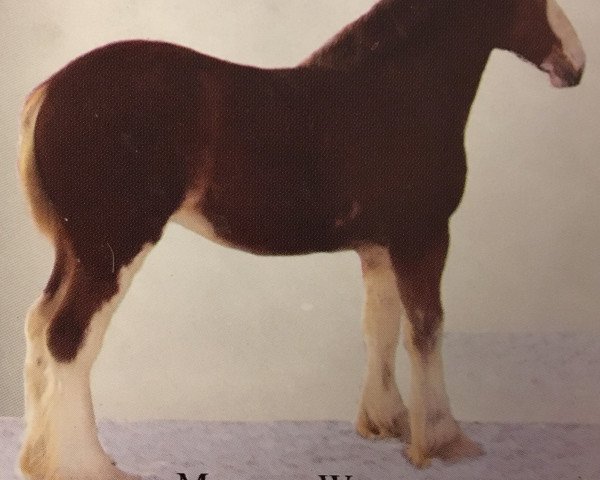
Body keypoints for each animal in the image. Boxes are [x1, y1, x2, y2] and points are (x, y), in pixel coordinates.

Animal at [16, 0, 584, 474]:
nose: (575, 65)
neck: (392, 96)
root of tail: (47, 94)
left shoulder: (380, 248)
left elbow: (381, 327)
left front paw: (387, 422)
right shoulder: (424, 238)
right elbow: (426, 329)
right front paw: (443, 442)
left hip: (75, 251)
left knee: (40, 328)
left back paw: (42, 459)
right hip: (112, 249)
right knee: (68, 338)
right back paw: (87, 464)